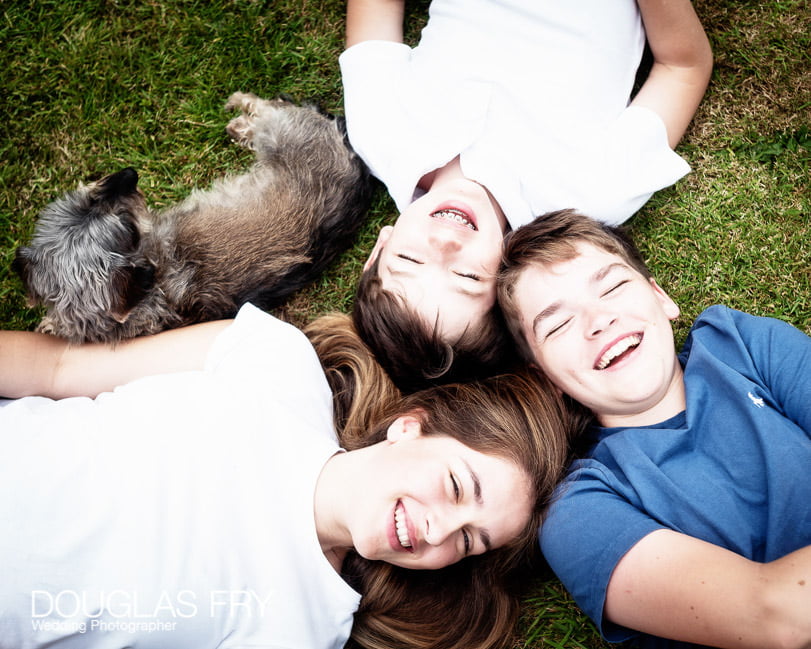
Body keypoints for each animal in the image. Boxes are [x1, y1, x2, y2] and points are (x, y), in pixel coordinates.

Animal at [13, 93, 374, 344]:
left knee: (265, 106)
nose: (129, 175)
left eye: (95, 199)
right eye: (127, 227)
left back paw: (238, 110)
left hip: (278, 132)